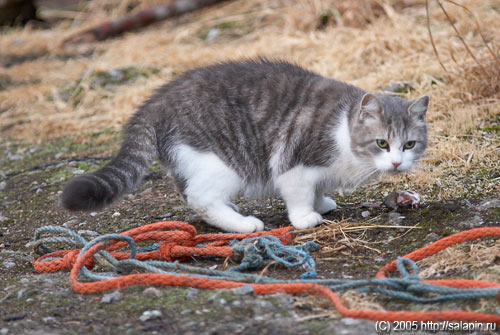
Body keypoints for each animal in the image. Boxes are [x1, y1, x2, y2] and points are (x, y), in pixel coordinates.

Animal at [61, 59, 430, 234]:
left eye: (410, 144)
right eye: (382, 143)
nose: (397, 163)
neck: (343, 130)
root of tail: (157, 100)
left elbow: (318, 188)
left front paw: (322, 201)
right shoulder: (293, 163)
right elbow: (298, 193)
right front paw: (305, 217)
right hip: (224, 160)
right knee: (200, 198)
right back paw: (243, 224)